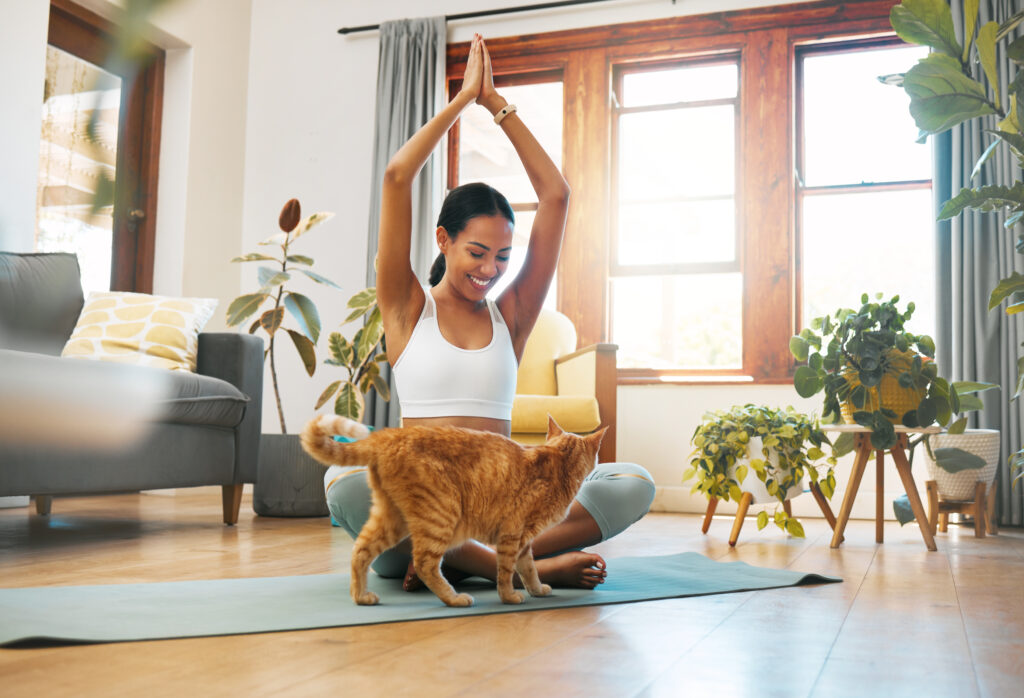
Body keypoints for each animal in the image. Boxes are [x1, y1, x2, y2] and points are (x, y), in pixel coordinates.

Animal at [299, 413, 602, 601]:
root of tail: (387, 436)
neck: (558, 463)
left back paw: (361, 597)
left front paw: (536, 590)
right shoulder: (511, 535)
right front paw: (508, 597)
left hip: (392, 520)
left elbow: (528, 569)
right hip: (441, 514)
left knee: (361, 551)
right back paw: (454, 598)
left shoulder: (524, 541)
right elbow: (506, 571)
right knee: (424, 563)